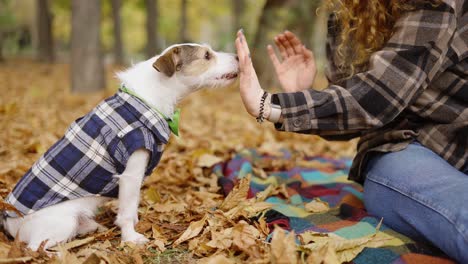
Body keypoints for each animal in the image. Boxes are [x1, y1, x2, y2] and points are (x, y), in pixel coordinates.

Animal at [0, 43, 239, 250]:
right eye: (207, 55)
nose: (238, 56)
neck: (146, 101)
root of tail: (9, 222)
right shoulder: (131, 175)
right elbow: (126, 212)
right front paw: (131, 237)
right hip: (60, 223)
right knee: (34, 248)